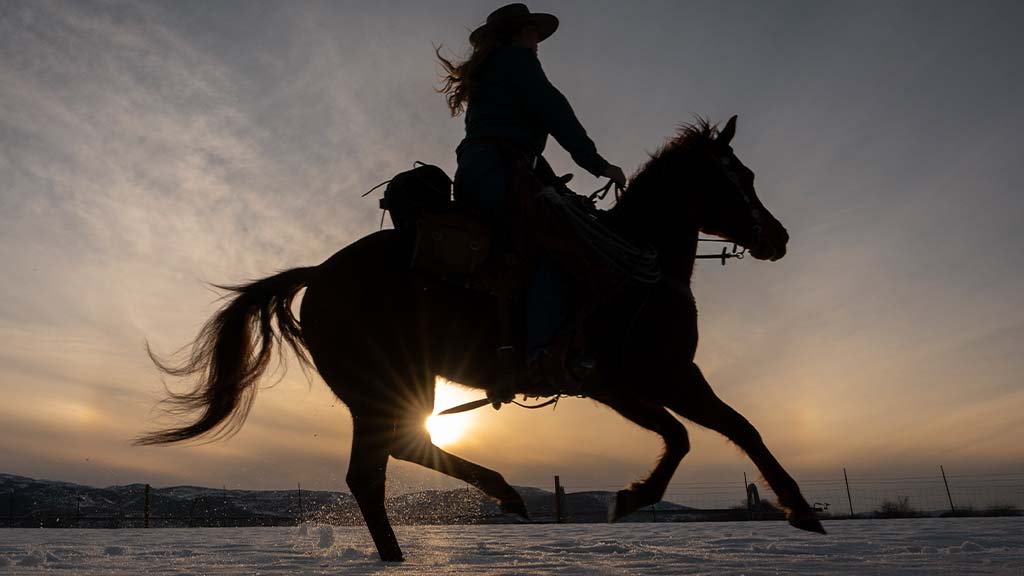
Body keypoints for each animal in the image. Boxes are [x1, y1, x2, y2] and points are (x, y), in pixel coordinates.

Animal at [136, 114, 823, 557]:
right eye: (740, 177)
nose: (779, 237)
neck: (636, 266)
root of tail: (319, 275)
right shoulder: (636, 379)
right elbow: (701, 434)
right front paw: (635, 498)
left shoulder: (653, 380)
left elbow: (722, 431)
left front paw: (795, 509)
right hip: (388, 382)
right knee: (390, 457)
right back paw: (491, 500)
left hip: (379, 392)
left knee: (379, 466)